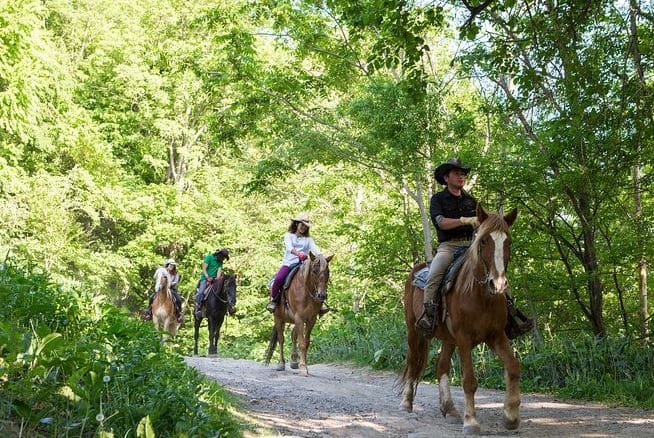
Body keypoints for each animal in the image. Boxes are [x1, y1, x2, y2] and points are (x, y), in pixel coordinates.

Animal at [399, 204, 520, 435]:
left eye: (508, 241)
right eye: (484, 241)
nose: (498, 284)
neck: (480, 295)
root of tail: (416, 269)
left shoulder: (496, 336)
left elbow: (513, 367)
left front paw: (511, 416)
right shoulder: (464, 338)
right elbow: (469, 381)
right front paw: (471, 422)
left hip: (448, 338)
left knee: (441, 367)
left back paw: (450, 409)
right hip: (414, 330)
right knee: (412, 362)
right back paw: (406, 403)